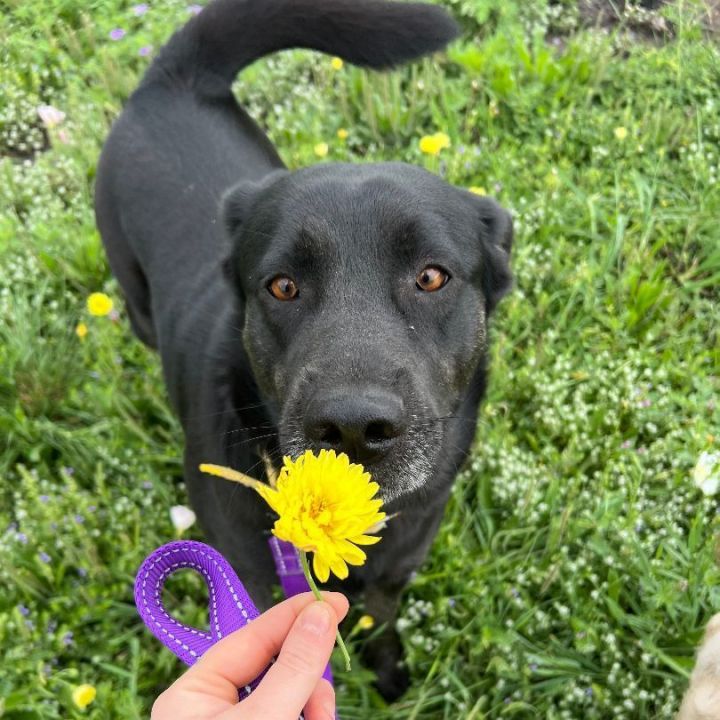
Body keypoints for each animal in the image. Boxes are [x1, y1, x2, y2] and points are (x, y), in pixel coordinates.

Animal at [95, 0, 512, 696]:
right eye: (283, 285)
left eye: (431, 276)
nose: (353, 428)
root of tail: (174, 75)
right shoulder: (249, 577)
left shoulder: (401, 563)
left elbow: (379, 614)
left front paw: (387, 669)